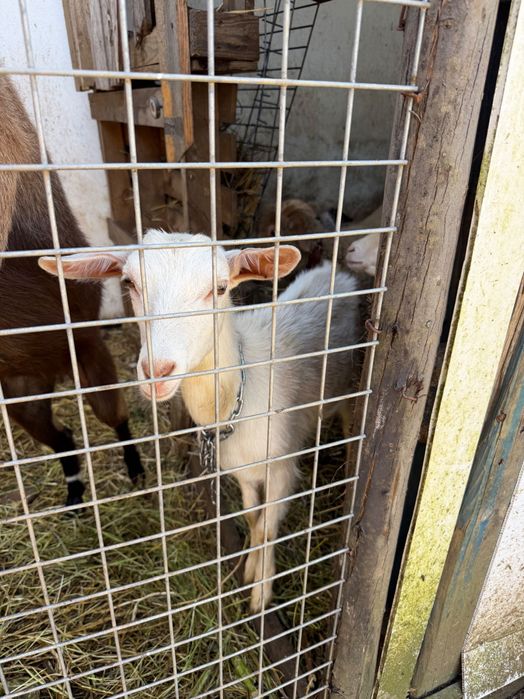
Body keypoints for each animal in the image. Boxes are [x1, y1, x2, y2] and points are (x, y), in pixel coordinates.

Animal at [0, 75, 143, 506]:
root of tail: (54, 370)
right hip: (21, 395)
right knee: (63, 436)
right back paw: (75, 496)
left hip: (91, 359)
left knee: (116, 417)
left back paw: (136, 471)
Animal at [39, 229, 379, 611]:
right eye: (129, 283)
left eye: (219, 288)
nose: (157, 371)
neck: (238, 395)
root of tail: (340, 274)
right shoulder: (242, 470)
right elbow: (251, 516)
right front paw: (249, 569)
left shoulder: (281, 467)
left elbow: (267, 528)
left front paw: (260, 595)